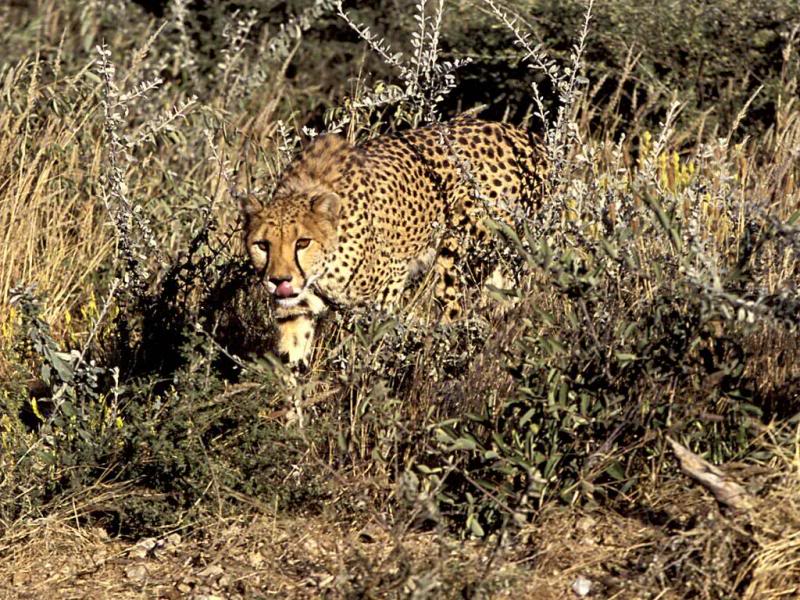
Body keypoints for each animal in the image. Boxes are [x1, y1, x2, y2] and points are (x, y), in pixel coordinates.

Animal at [241, 116, 547, 365]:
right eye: (263, 245)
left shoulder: (390, 280)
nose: (279, 280)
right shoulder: (296, 309)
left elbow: (370, 342)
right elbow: (291, 358)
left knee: (455, 314)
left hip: (460, 254)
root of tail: (525, 135)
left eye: (302, 242)